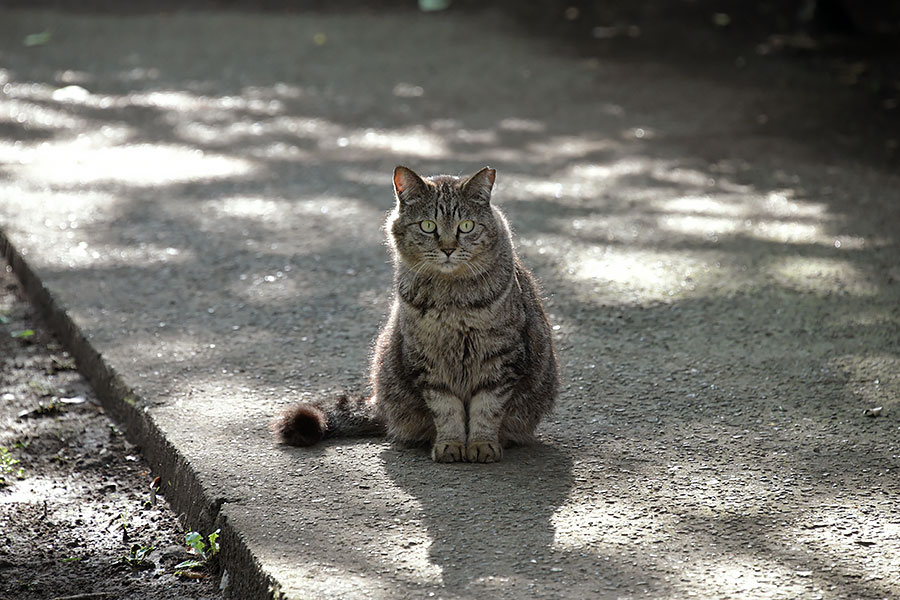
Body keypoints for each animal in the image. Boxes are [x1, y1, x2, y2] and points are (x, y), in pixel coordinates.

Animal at [274, 165, 556, 464]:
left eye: (466, 226)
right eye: (428, 226)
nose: (448, 248)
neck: (452, 300)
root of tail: (378, 405)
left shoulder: (501, 357)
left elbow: (487, 408)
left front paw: (481, 444)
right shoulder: (427, 361)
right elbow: (446, 410)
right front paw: (451, 444)